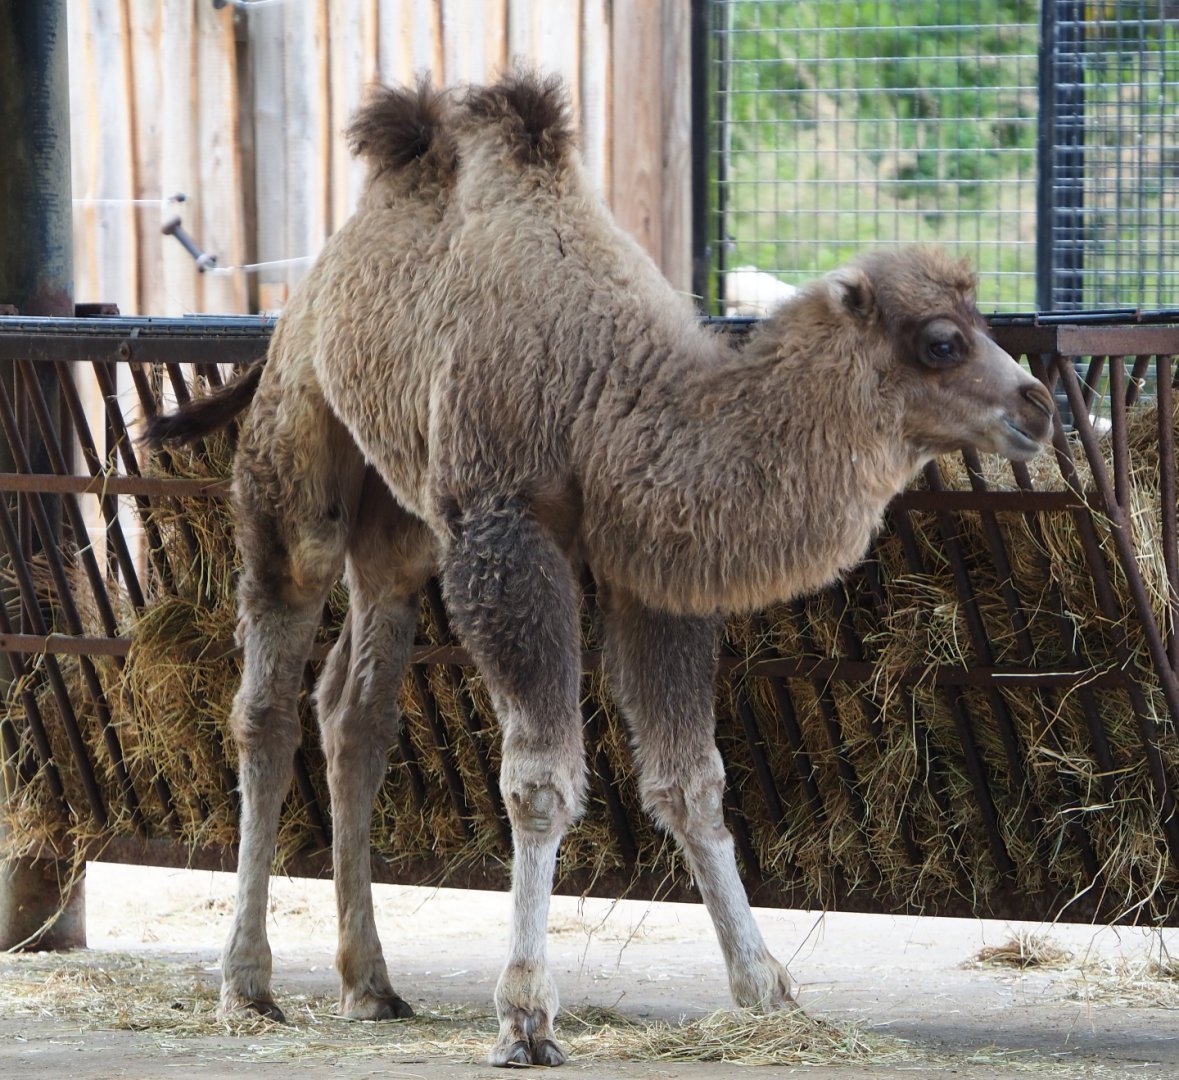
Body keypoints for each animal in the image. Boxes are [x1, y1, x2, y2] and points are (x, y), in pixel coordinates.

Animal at [146, 72, 1055, 1067]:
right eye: (940, 341)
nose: (1037, 404)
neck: (604, 402)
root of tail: (307, 290)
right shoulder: (507, 537)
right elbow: (539, 783)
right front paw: (525, 1014)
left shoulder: (649, 571)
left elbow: (692, 782)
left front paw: (764, 985)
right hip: (299, 461)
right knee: (267, 700)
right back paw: (247, 984)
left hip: (403, 525)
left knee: (356, 708)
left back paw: (371, 984)